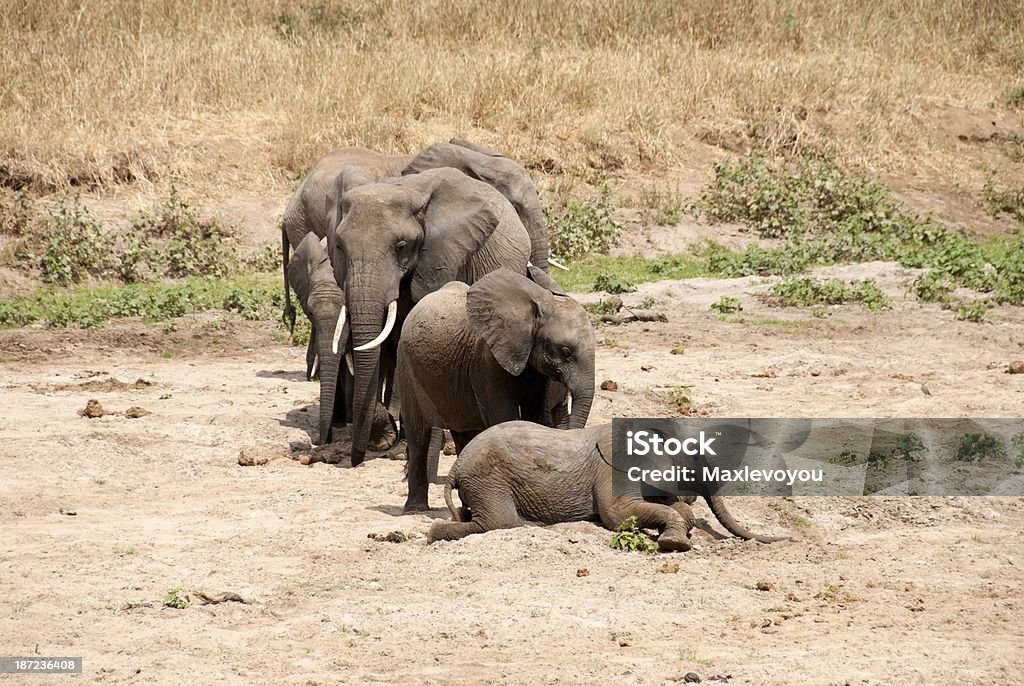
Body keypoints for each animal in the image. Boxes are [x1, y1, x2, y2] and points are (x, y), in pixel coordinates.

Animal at [395, 268, 598, 509]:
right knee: (418, 436)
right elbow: (504, 416)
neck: (537, 306)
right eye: (566, 351)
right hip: (406, 369)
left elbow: (535, 415)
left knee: (463, 433)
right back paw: (415, 509)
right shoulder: (486, 361)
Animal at [428, 421, 786, 552]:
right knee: (498, 522)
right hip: (488, 477)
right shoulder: (615, 467)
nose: (783, 539)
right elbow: (617, 515)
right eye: (696, 461)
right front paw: (675, 545)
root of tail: (456, 465)